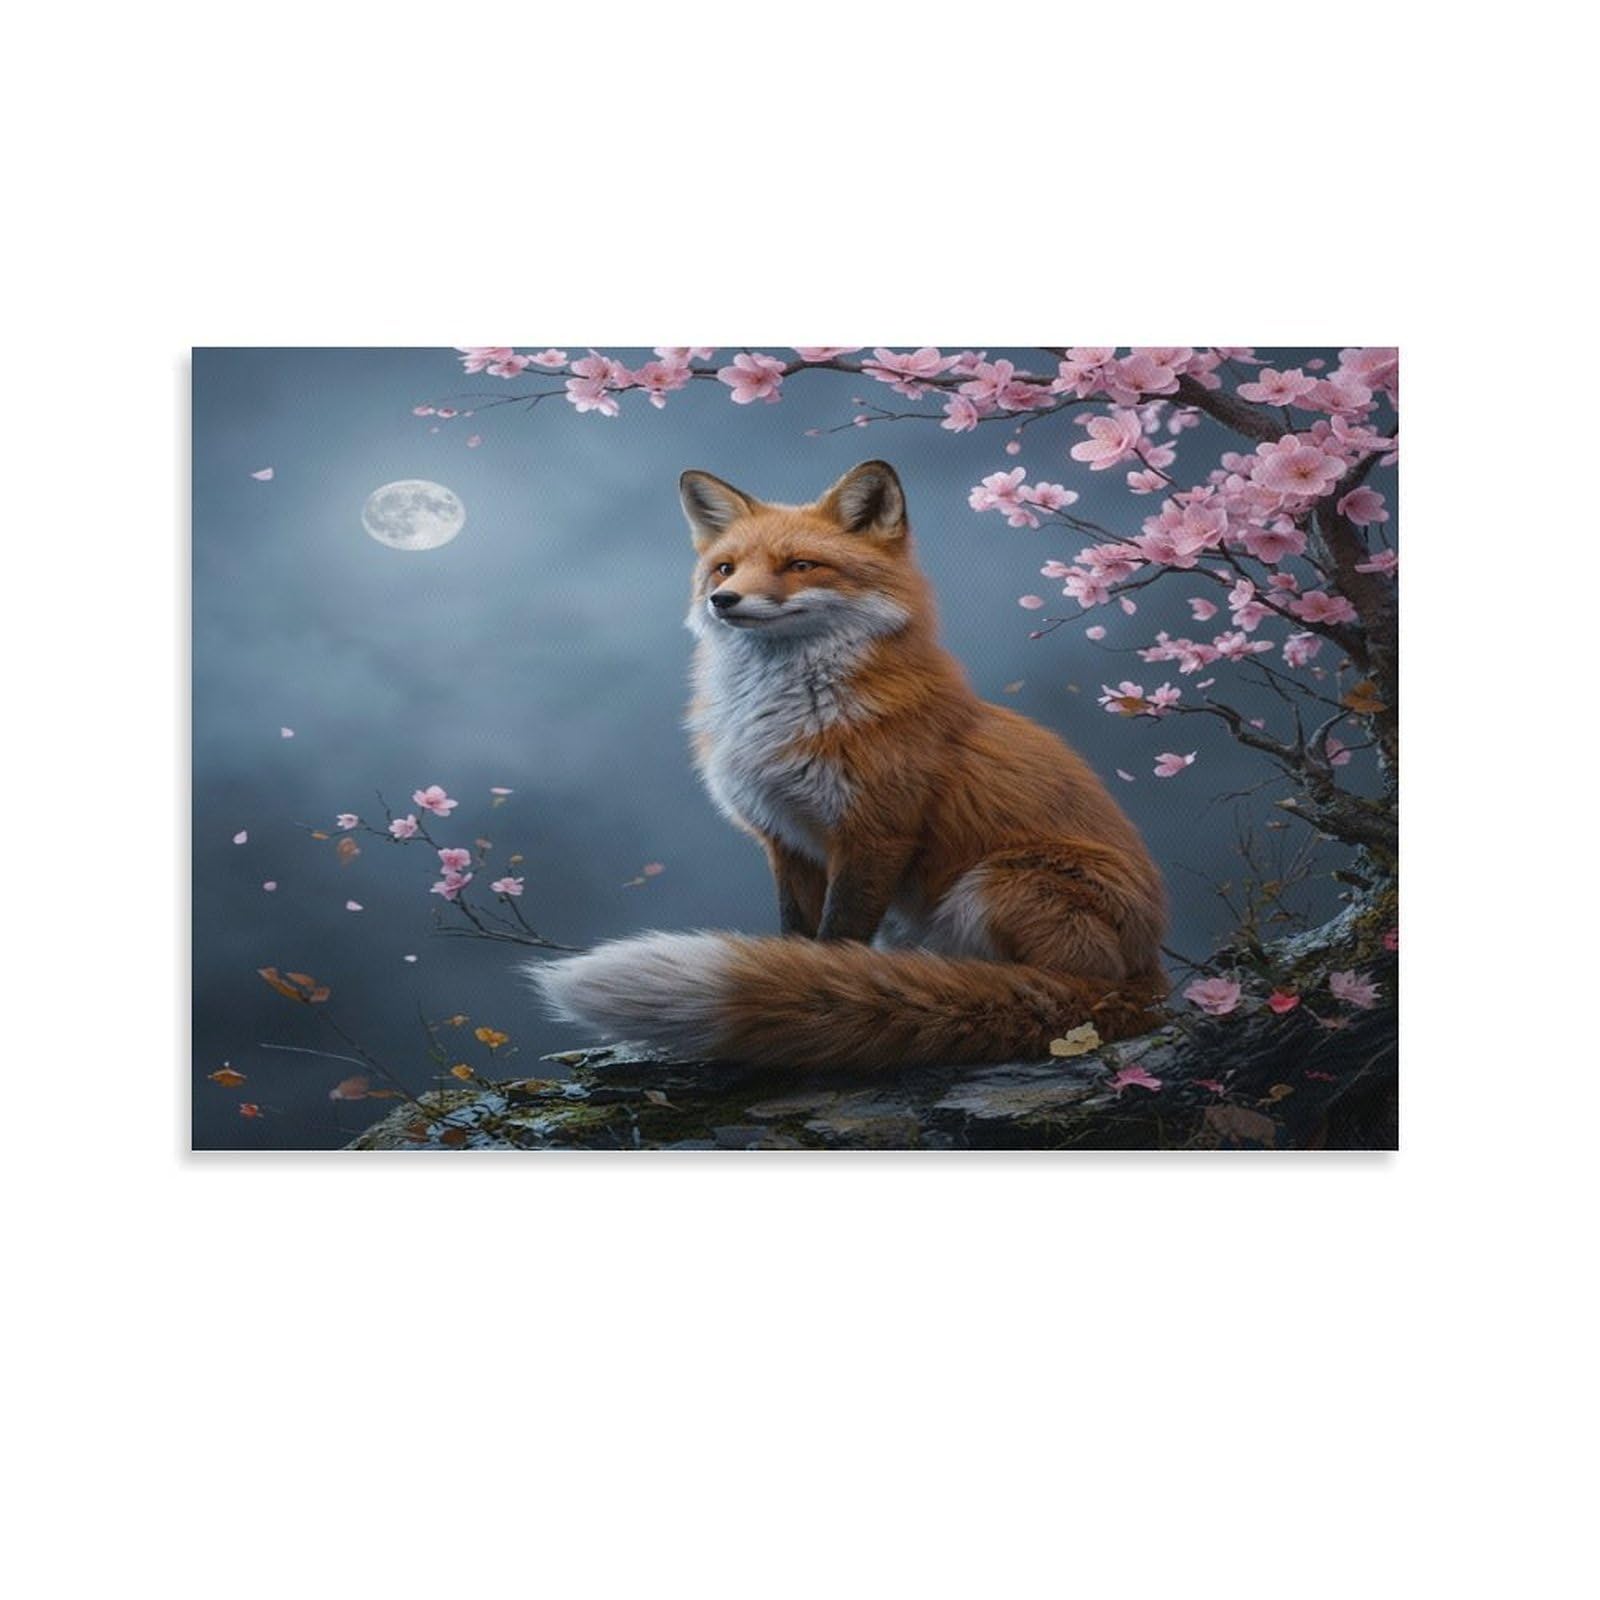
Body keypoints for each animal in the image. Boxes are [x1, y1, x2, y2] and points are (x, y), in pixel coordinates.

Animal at [530, 459, 1169, 1070]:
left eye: (800, 565)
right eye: (725, 569)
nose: (723, 601)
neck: (784, 715)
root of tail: (1149, 978)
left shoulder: (875, 832)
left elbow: (836, 939)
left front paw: (812, 1003)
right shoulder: (785, 837)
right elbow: (796, 938)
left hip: (997, 884)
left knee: (1053, 985)